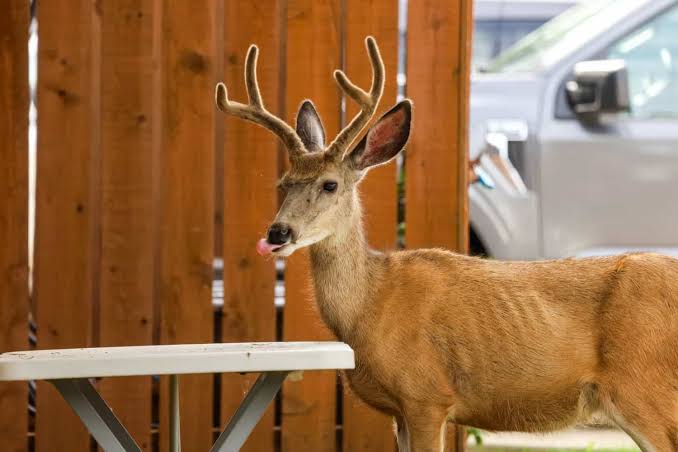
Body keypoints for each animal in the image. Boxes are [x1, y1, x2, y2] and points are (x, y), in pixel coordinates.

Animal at [216, 36, 678, 452]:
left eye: (330, 184)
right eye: (283, 183)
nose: (277, 233)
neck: (370, 306)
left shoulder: (427, 395)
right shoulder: (400, 412)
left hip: (643, 386)